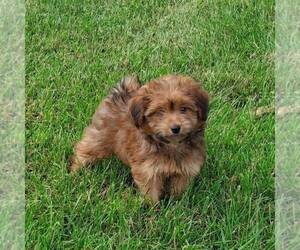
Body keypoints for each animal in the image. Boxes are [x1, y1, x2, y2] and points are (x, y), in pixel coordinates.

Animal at [69, 74, 209, 203]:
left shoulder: (185, 169)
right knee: (85, 149)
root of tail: (121, 93)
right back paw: (75, 170)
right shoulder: (148, 170)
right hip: (100, 138)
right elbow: (151, 190)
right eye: (161, 111)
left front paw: (175, 202)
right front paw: (152, 207)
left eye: (184, 109)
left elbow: (178, 187)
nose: (175, 128)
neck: (171, 144)